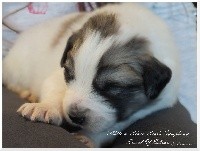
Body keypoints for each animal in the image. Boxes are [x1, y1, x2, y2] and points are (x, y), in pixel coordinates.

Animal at [2, 2, 180, 147]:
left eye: (112, 86)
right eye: (69, 74)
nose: (74, 117)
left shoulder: (154, 104)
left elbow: (115, 126)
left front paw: (89, 138)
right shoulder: (57, 75)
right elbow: (55, 89)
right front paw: (45, 107)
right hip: (17, 67)